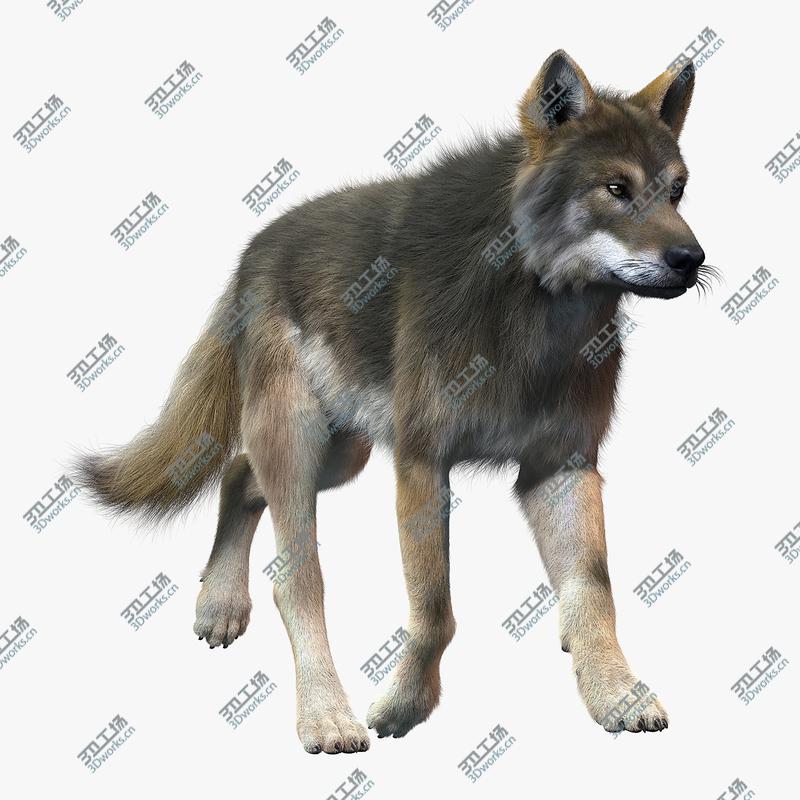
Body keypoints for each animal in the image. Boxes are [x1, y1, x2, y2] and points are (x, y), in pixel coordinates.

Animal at [76, 50, 711, 753]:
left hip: (341, 452)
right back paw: (325, 717)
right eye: (617, 189)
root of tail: (253, 251)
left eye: (676, 191)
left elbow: (594, 593)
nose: (691, 258)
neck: (534, 317)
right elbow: (435, 610)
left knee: (239, 472)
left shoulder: (562, 466)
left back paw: (218, 606)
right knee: (294, 580)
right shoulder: (421, 462)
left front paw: (615, 694)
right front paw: (404, 706)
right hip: (301, 441)